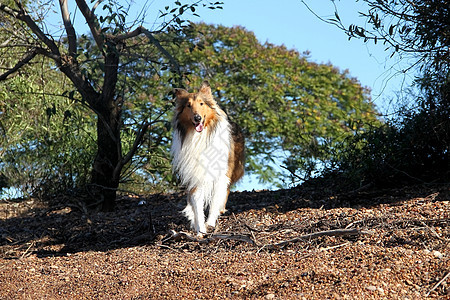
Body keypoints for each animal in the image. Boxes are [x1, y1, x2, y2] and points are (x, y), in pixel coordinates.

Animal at [171, 81, 244, 236]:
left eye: (201, 103)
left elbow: (215, 199)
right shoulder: (196, 175)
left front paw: (210, 222)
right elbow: (197, 203)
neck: (200, 137)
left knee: (226, 190)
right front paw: (200, 229)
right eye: (188, 105)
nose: (197, 118)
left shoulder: (220, 174)